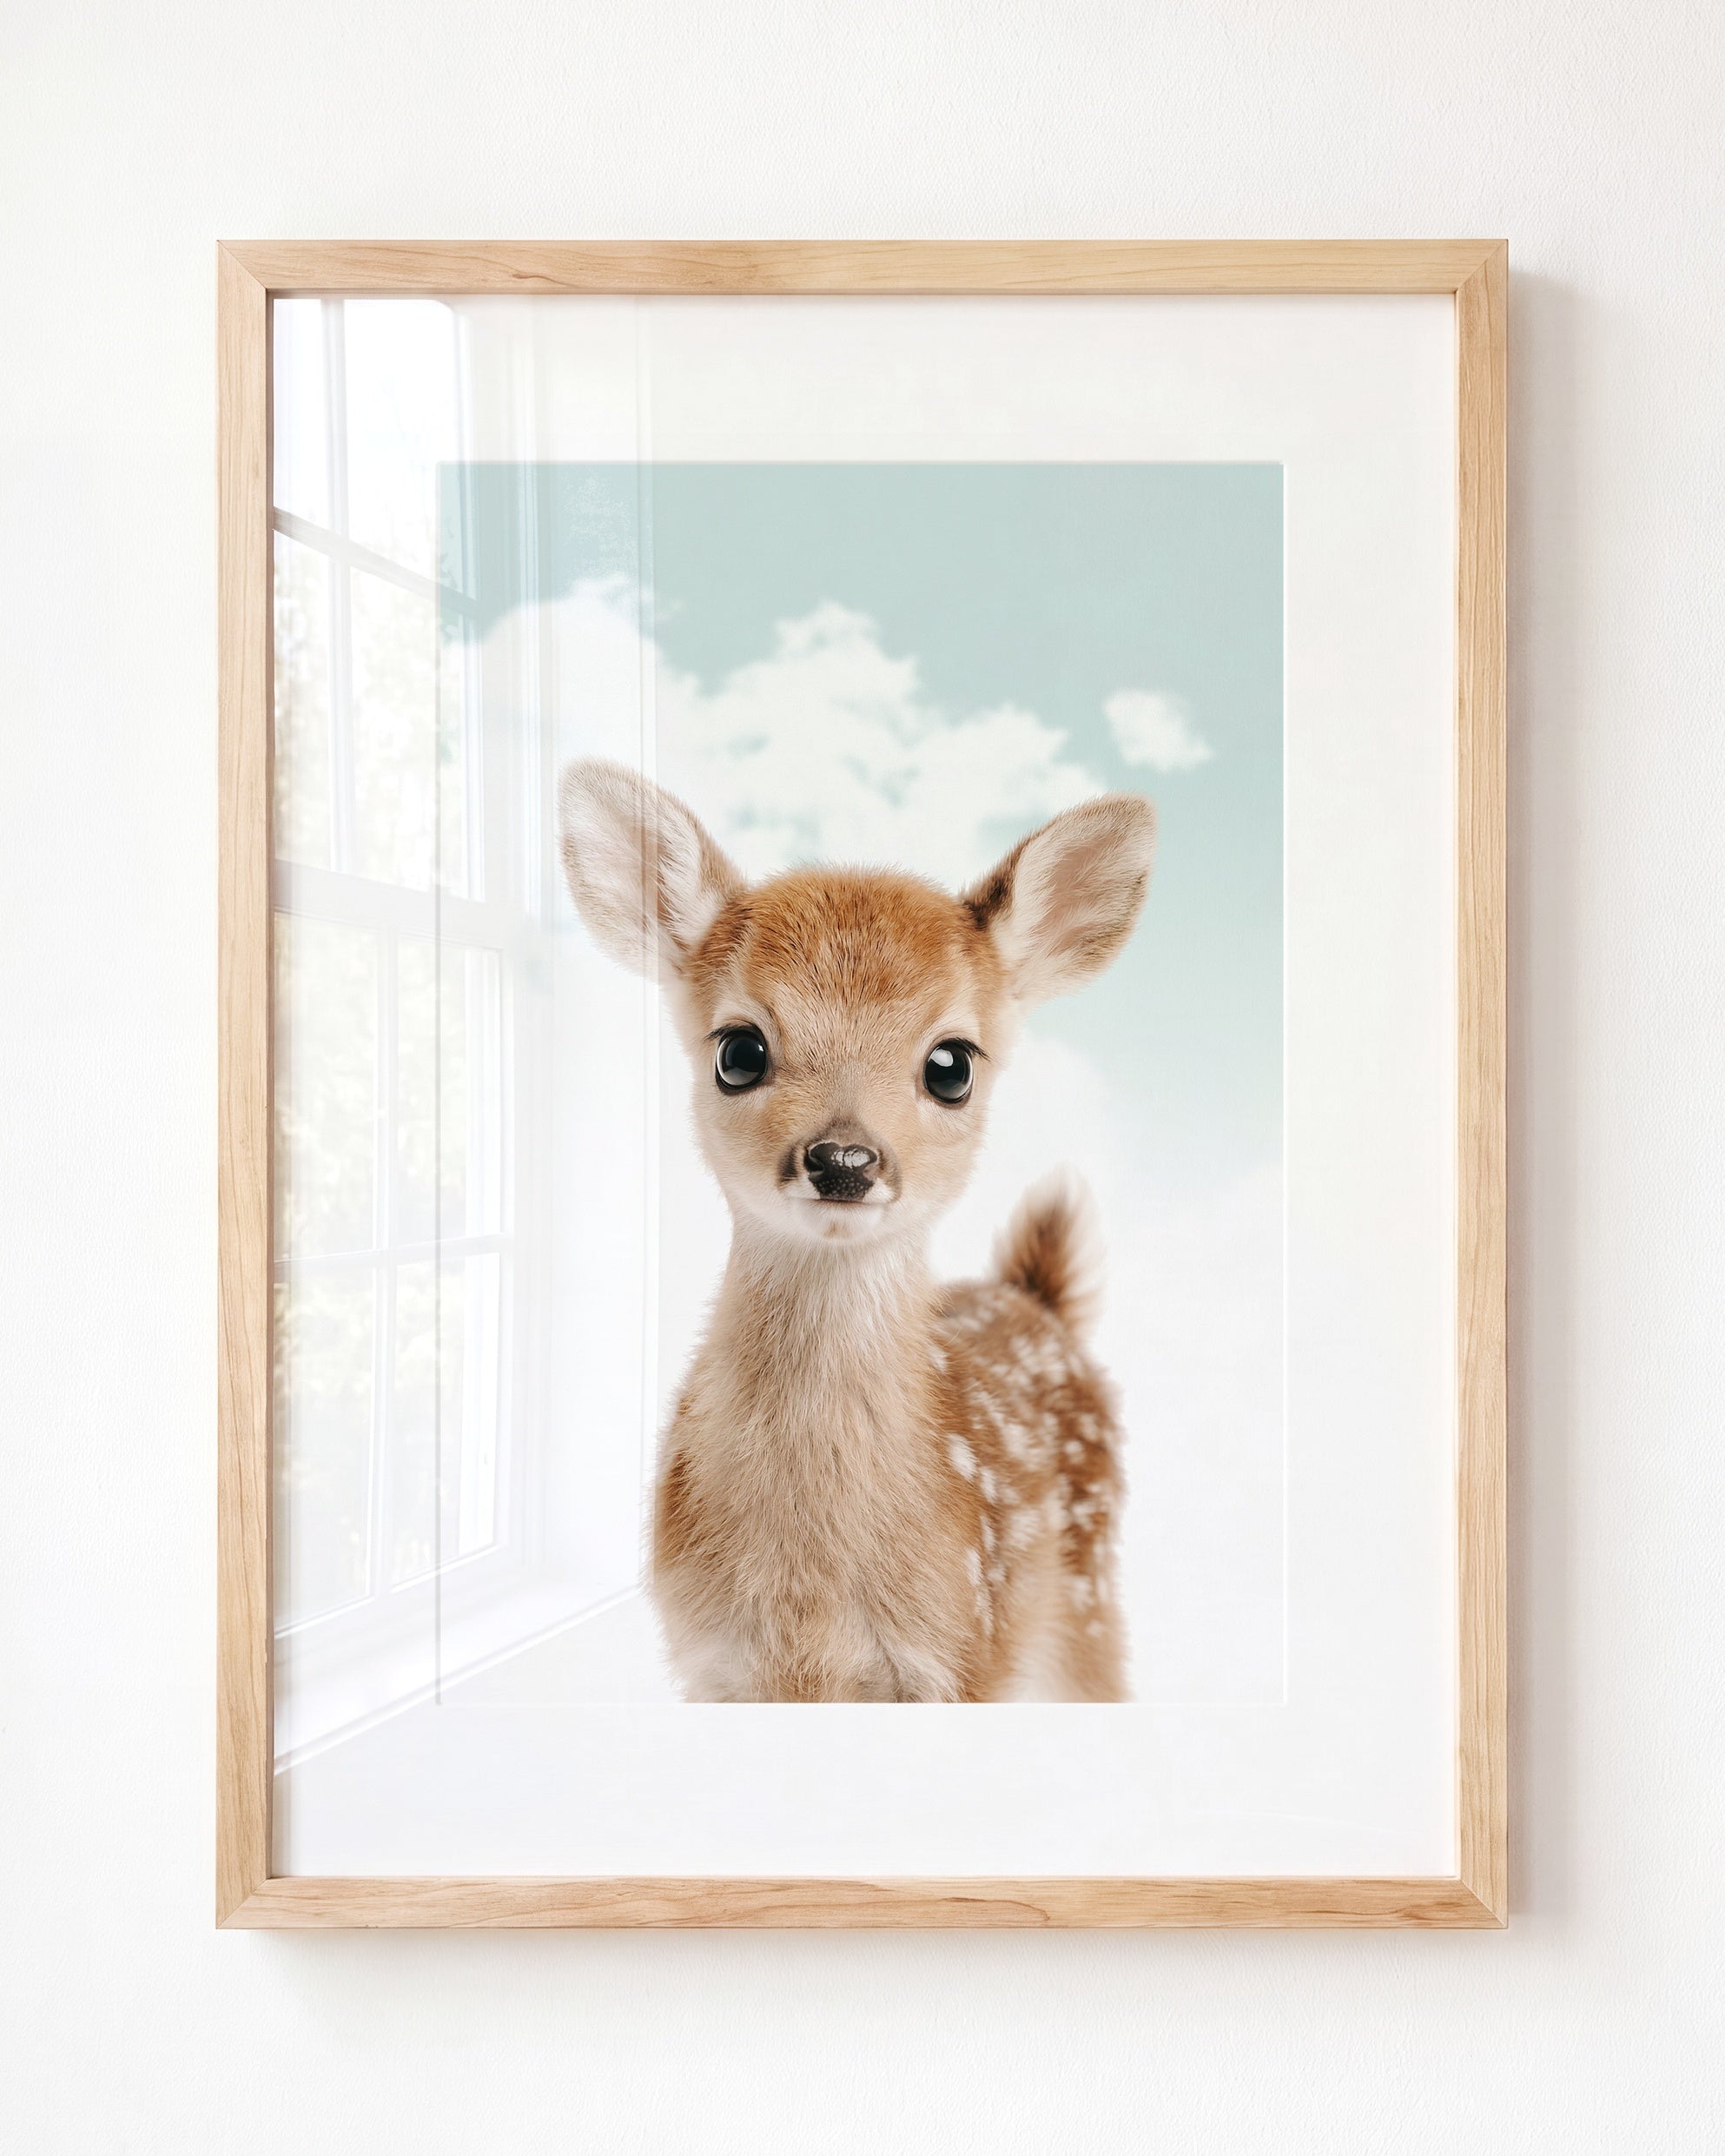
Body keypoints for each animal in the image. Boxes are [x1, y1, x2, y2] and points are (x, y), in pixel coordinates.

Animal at [558, 759, 1156, 1702]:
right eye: (738, 1051)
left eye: (951, 1064)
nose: (843, 1158)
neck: (811, 1602)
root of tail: (1037, 1299)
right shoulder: (711, 1663)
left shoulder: (961, 1652)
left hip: (1086, 1601)